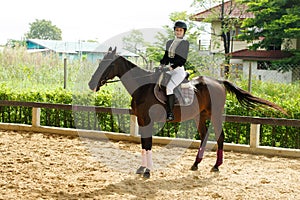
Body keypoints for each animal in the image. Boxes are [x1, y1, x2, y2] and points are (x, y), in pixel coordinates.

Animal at [88, 47, 286, 178]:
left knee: (219, 137)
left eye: (107, 64)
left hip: (215, 115)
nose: (91, 84)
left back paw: (216, 166)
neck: (142, 87)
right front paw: (142, 168)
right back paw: (196, 164)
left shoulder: (148, 120)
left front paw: (148, 171)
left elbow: (148, 144)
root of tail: (219, 82)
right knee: (204, 136)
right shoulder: (142, 120)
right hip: (201, 116)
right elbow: (143, 145)